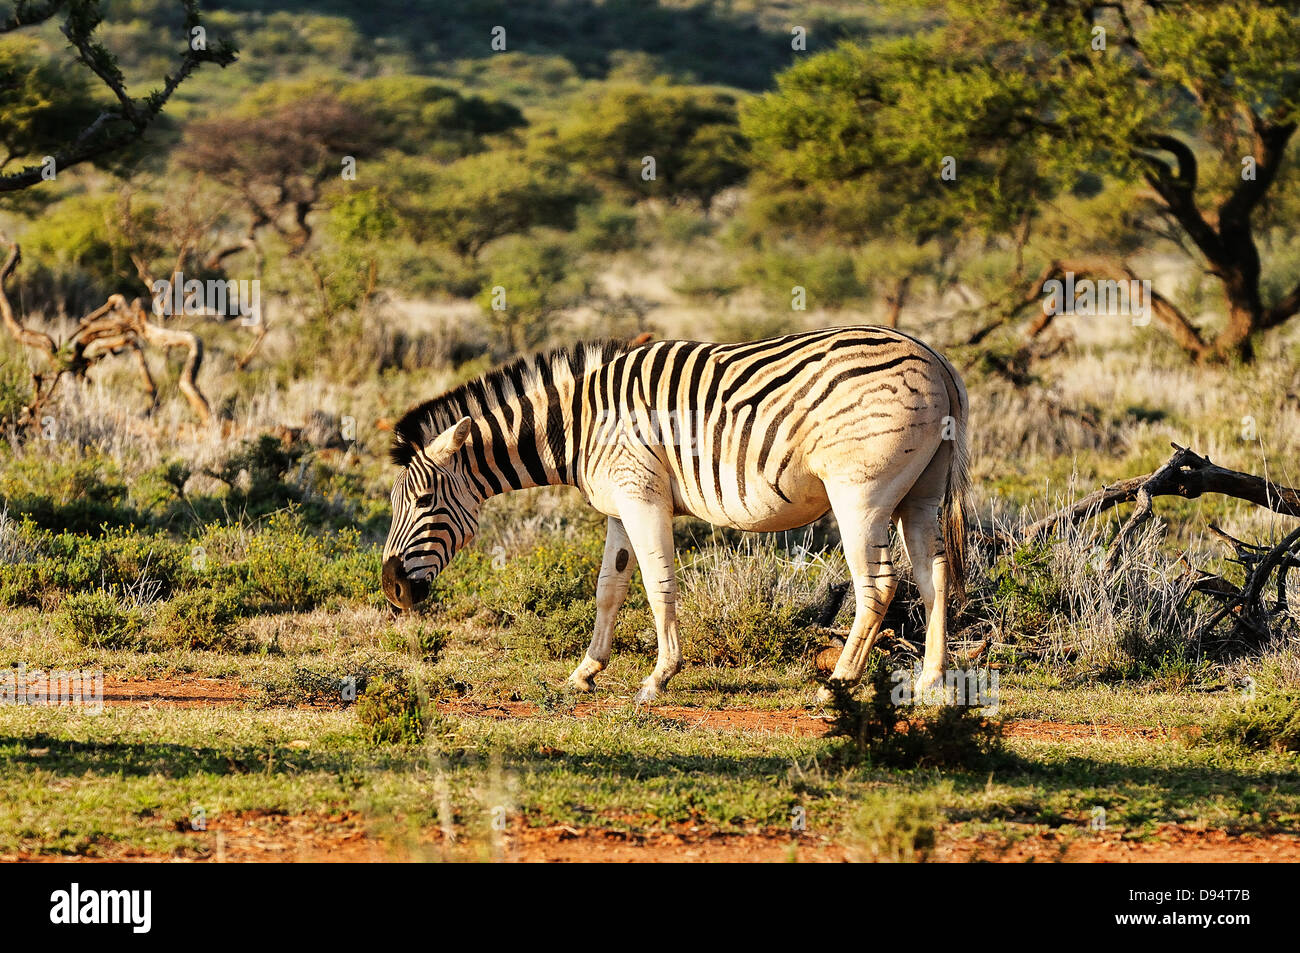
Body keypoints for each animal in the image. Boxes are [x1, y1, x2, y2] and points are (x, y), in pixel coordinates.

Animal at [379, 327, 972, 707]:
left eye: (424, 502)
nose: (392, 591)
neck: (580, 425)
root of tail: (936, 359)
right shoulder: (619, 506)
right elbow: (609, 588)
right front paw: (584, 673)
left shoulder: (642, 496)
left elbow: (657, 584)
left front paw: (658, 678)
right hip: (923, 491)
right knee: (934, 576)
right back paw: (932, 681)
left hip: (860, 493)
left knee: (879, 585)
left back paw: (837, 685)